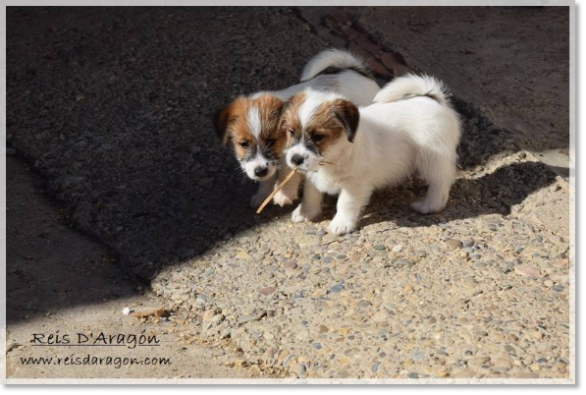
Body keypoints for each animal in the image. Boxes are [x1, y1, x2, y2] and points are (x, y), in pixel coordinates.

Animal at [212, 48, 380, 209]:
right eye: (243, 144)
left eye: (272, 141)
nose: (260, 171)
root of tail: (356, 71)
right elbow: (269, 178)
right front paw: (263, 194)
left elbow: (288, 172)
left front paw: (283, 194)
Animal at [280, 74, 460, 235]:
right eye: (291, 131)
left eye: (318, 136)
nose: (295, 159)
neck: (335, 154)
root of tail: (433, 98)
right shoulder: (313, 175)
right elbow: (311, 194)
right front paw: (305, 213)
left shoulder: (354, 184)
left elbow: (346, 203)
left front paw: (341, 224)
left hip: (432, 159)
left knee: (441, 181)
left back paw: (429, 205)